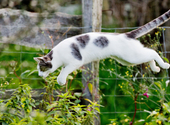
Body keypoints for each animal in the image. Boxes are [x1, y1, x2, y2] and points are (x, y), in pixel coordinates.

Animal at [33, 9, 170, 85]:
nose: (39, 75)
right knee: (149, 54)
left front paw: (61, 80)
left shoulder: (76, 61)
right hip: (127, 60)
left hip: (131, 57)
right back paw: (156, 68)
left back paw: (164, 65)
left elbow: (64, 71)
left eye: (41, 68)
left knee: (153, 52)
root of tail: (126, 34)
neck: (57, 56)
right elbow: (63, 70)